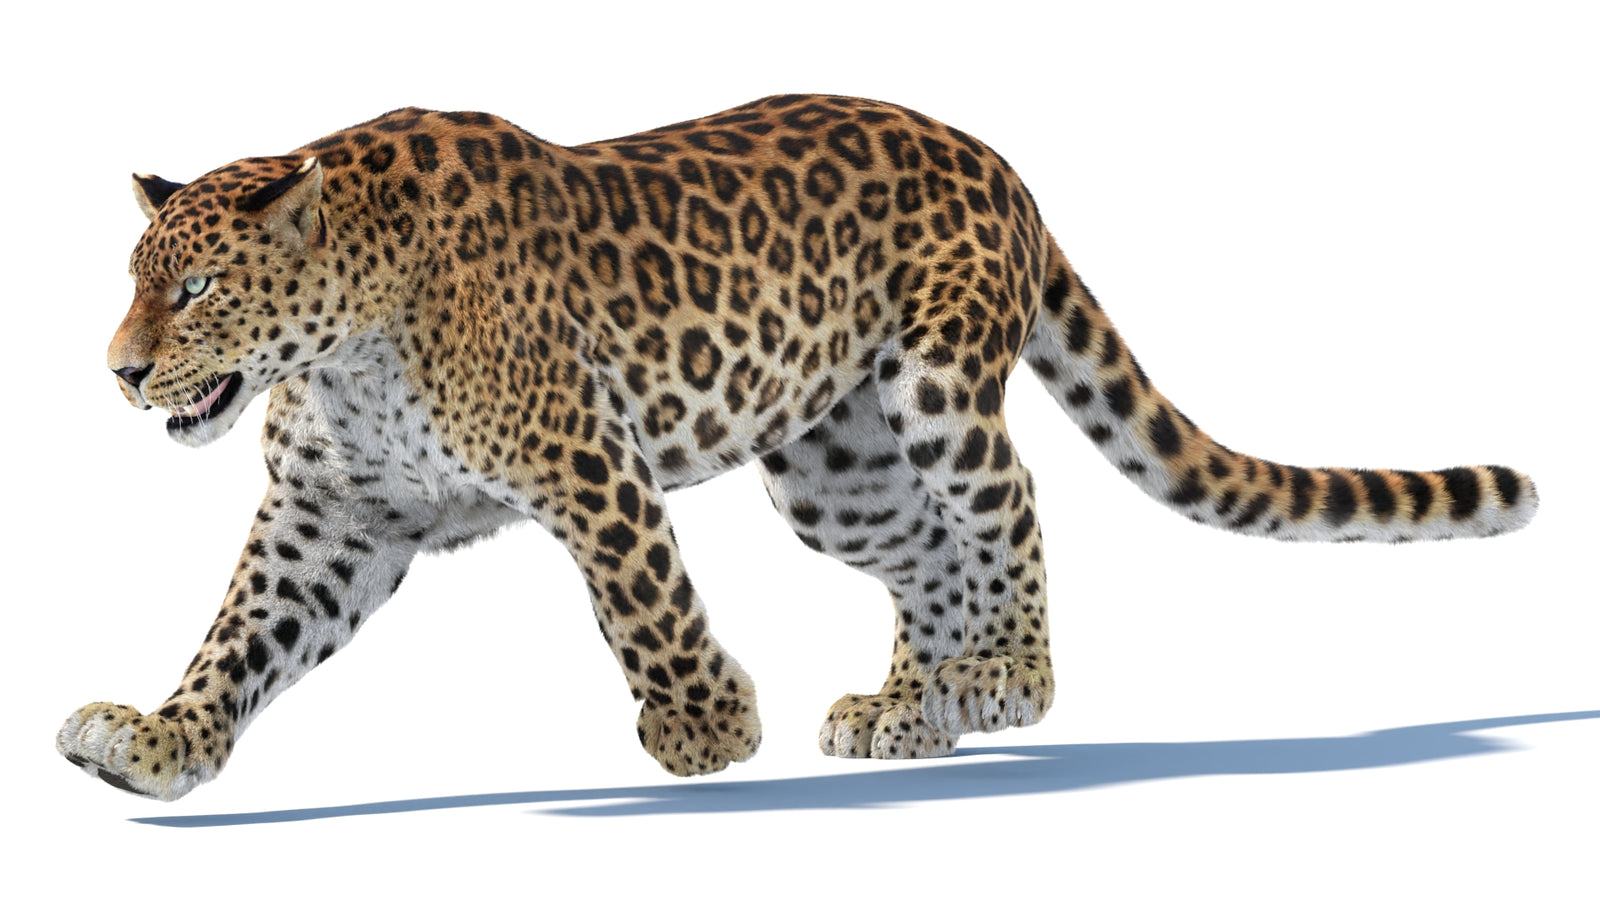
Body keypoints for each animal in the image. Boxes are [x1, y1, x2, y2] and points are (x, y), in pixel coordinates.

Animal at [57, 95, 1538, 801]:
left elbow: (644, 599)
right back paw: (917, 706)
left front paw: (705, 728)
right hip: (841, 468)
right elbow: (239, 638)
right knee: (930, 551)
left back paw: (1008, 679)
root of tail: (999, 161)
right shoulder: (332, 520)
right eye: (133, 284)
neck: (348, 340)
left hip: (937, 383)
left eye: (195, 291)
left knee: (1011, 504)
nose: (119, 372)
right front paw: (156, 743)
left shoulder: (585, 459)